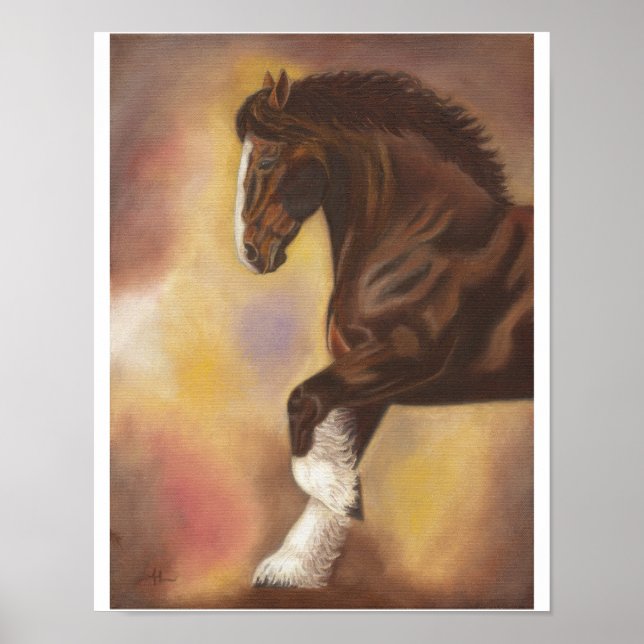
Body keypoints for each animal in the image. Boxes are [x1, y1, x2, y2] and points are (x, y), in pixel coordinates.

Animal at [233, 70, 533, 588]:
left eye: (267, 158)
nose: (250, 252)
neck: (425, 238)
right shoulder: (364, 377)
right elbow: (334, 441)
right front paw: (296, 564)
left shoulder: (403, 359)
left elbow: (301, 407)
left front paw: (341, 504)